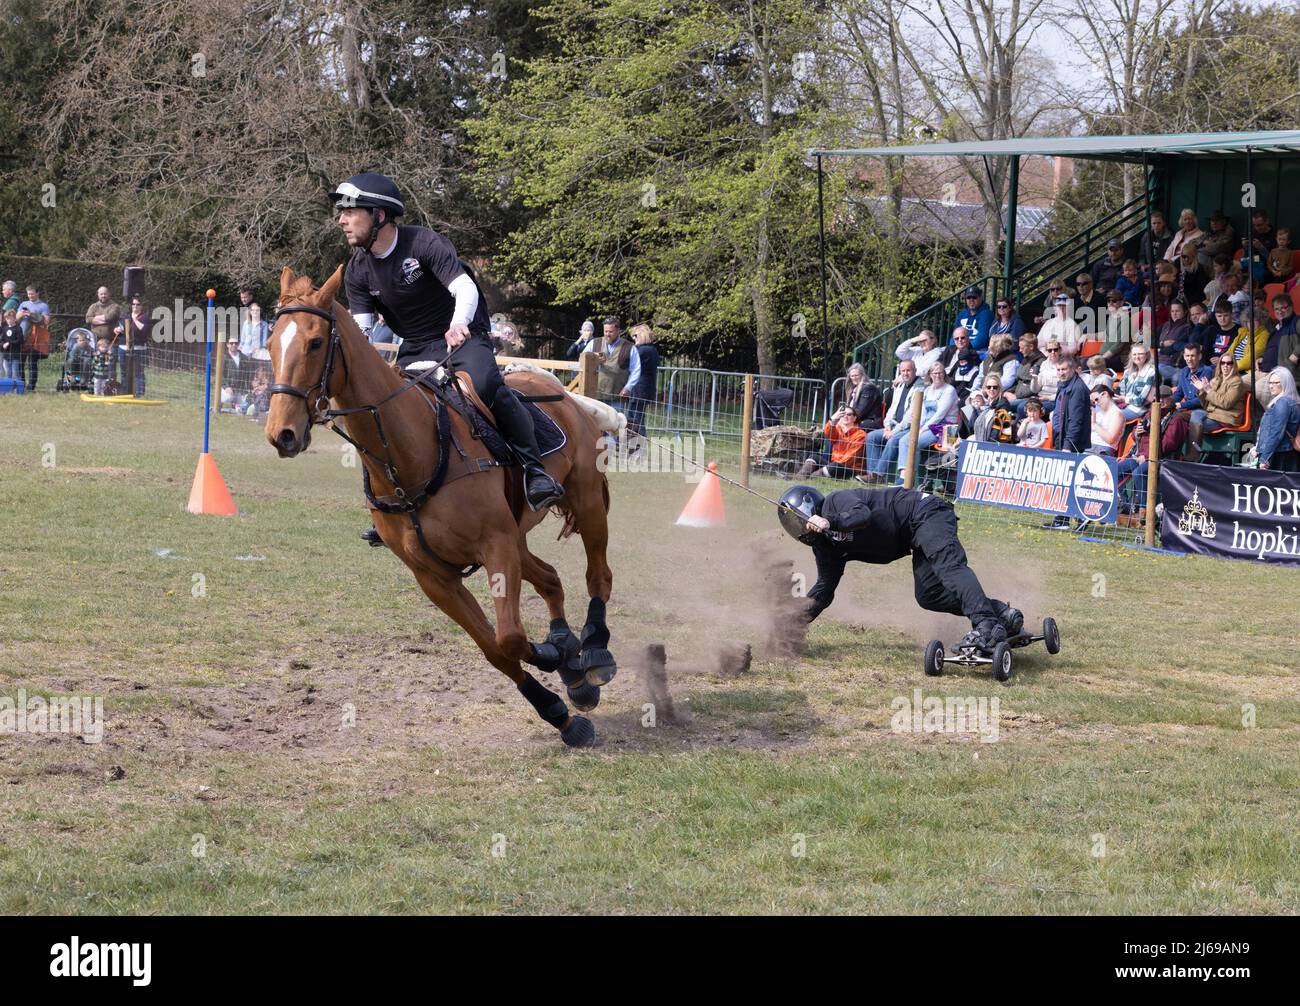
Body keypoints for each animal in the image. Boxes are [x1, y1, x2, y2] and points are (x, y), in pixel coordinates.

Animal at [264, 265, 616, 747]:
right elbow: (495, 649)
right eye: (271, 341)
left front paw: (555, 656)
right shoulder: (435, 577)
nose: (281, 433)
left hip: (584, 500)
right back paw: (571, 659)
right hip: (519, 535)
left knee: (598, 574)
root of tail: (557, 388)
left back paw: (594, 650)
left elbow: (509, 637)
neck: (414, 455)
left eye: (316, 342)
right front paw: (560, 706)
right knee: (549, 578)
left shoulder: (495, 545)